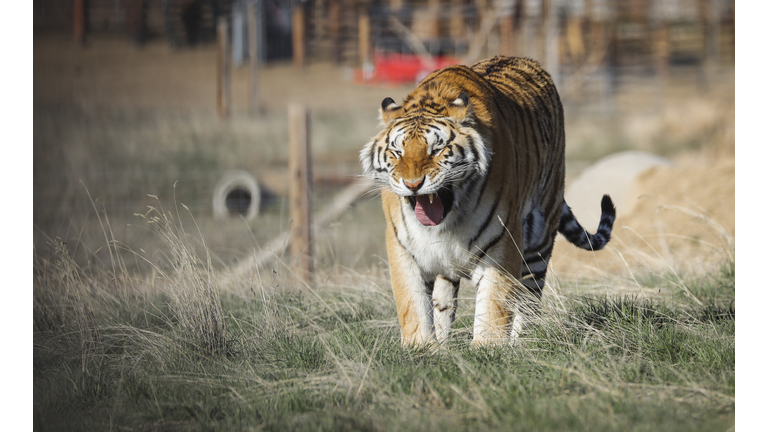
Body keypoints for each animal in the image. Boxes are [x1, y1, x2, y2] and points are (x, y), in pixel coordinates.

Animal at [360, 55, 616, 346]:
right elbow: (413, 305)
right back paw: (445, 344)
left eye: (437, 149)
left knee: (530, 300)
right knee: (444, 300)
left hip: (540, 237)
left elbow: (494, 304)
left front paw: (488, 348)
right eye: (397, 152)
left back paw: (521, 343)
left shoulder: (502, 243)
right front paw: (422, 347)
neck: (447, 223)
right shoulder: (403, 249)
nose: (413, 185)